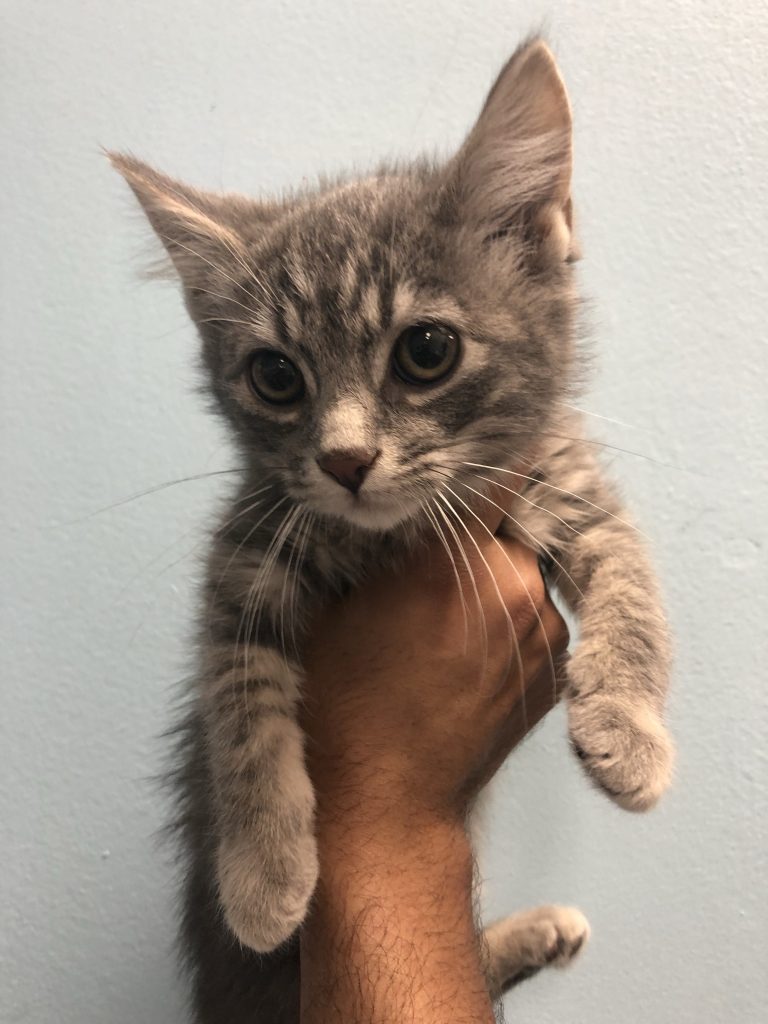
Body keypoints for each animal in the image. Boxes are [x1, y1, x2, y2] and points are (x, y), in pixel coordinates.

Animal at [109, 37, 671, 1024]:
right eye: (275, 376)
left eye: (426, 352)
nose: (343, 460)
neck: (393, 534)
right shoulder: (247, 551)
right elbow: (241, 707)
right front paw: (263, 871)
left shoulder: (566, 479)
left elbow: (633, 586)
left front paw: (628, 727)